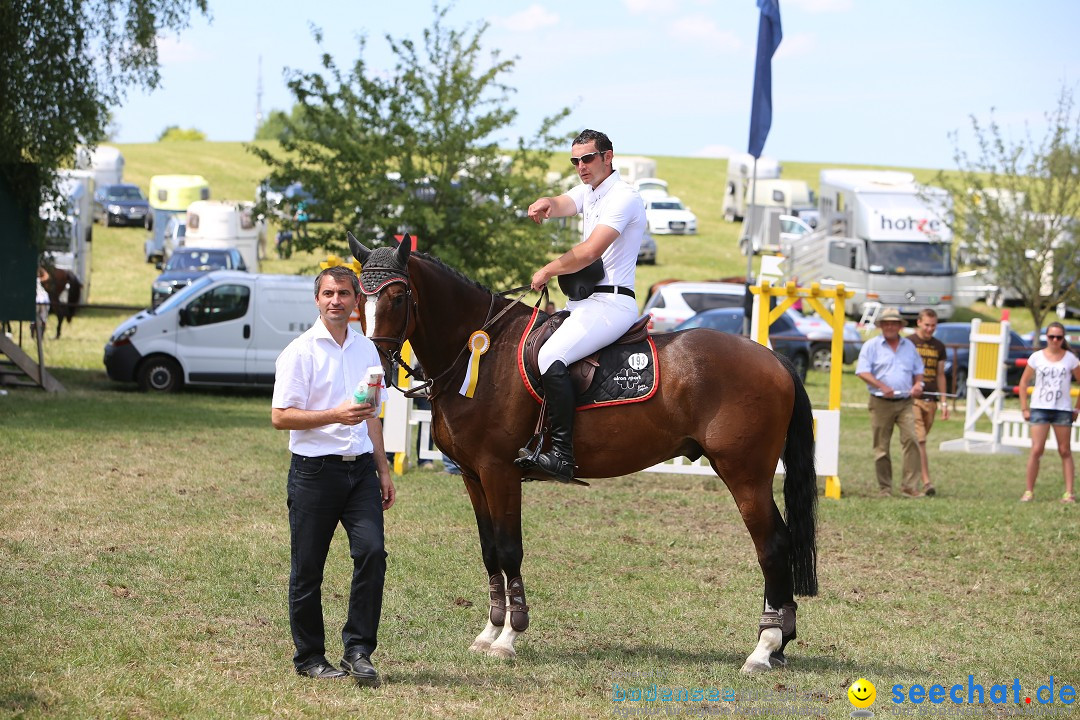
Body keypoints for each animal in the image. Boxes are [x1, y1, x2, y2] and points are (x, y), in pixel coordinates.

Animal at [349, 234, 812, 673]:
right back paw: (779, 643)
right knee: (781, 543)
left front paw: (508, 638)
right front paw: (490, 631)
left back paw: (763, 648)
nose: (375, 367)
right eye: (357, 296)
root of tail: (773, 358)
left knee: (772, 546)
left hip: (745, 474)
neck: (480, 351)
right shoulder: (472, 475)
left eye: (397, 296)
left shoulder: (500, 472)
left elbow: (510, 549)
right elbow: (490, 551)